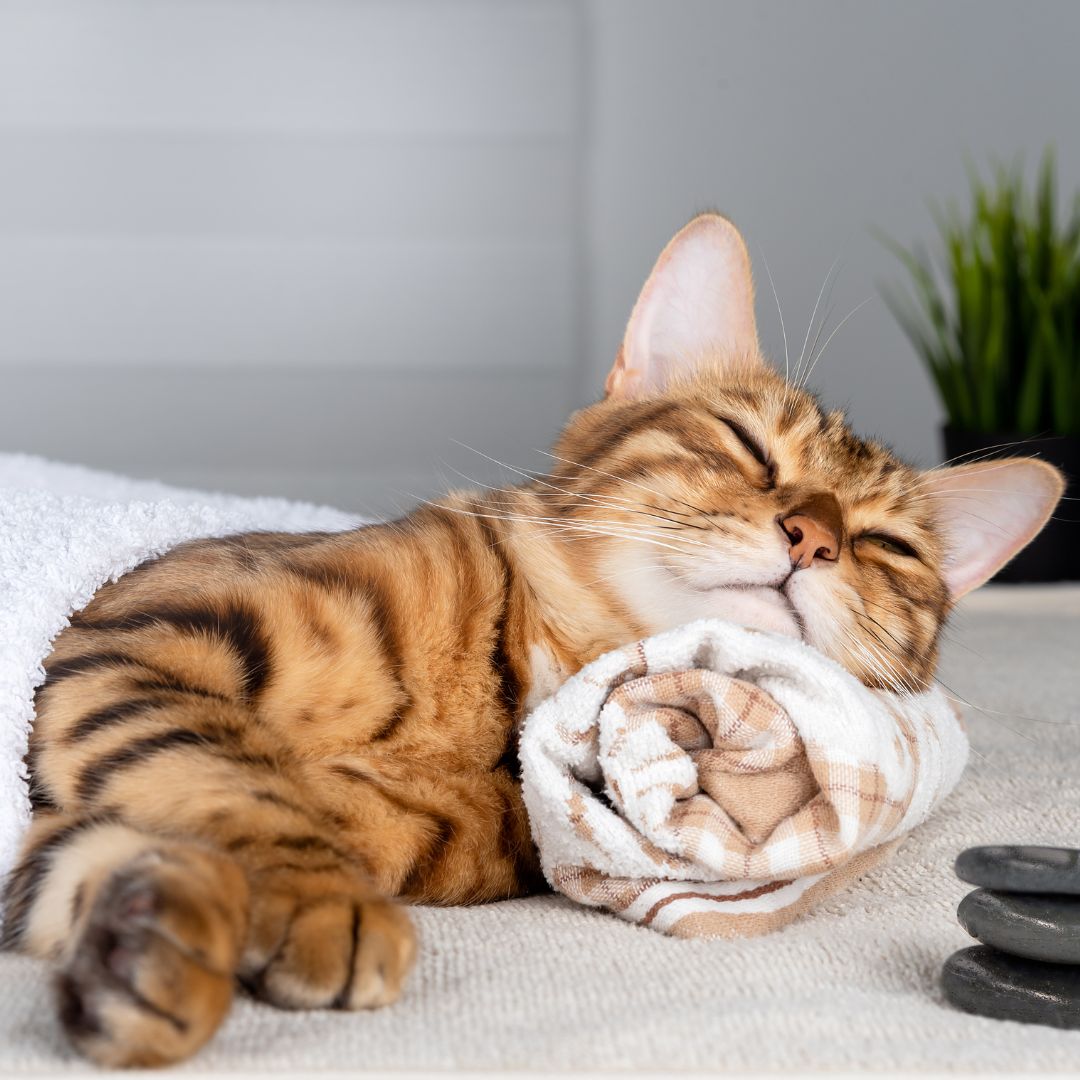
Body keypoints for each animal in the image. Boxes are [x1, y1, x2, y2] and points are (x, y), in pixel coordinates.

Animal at [0, 210, 1062, 1062]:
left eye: (887, 546)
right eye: (747, 447)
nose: (815, 537)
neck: (502, 694)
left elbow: (129, 838)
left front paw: (144, 952)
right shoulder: (142, 635)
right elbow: (234, 778)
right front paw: (320, 901)